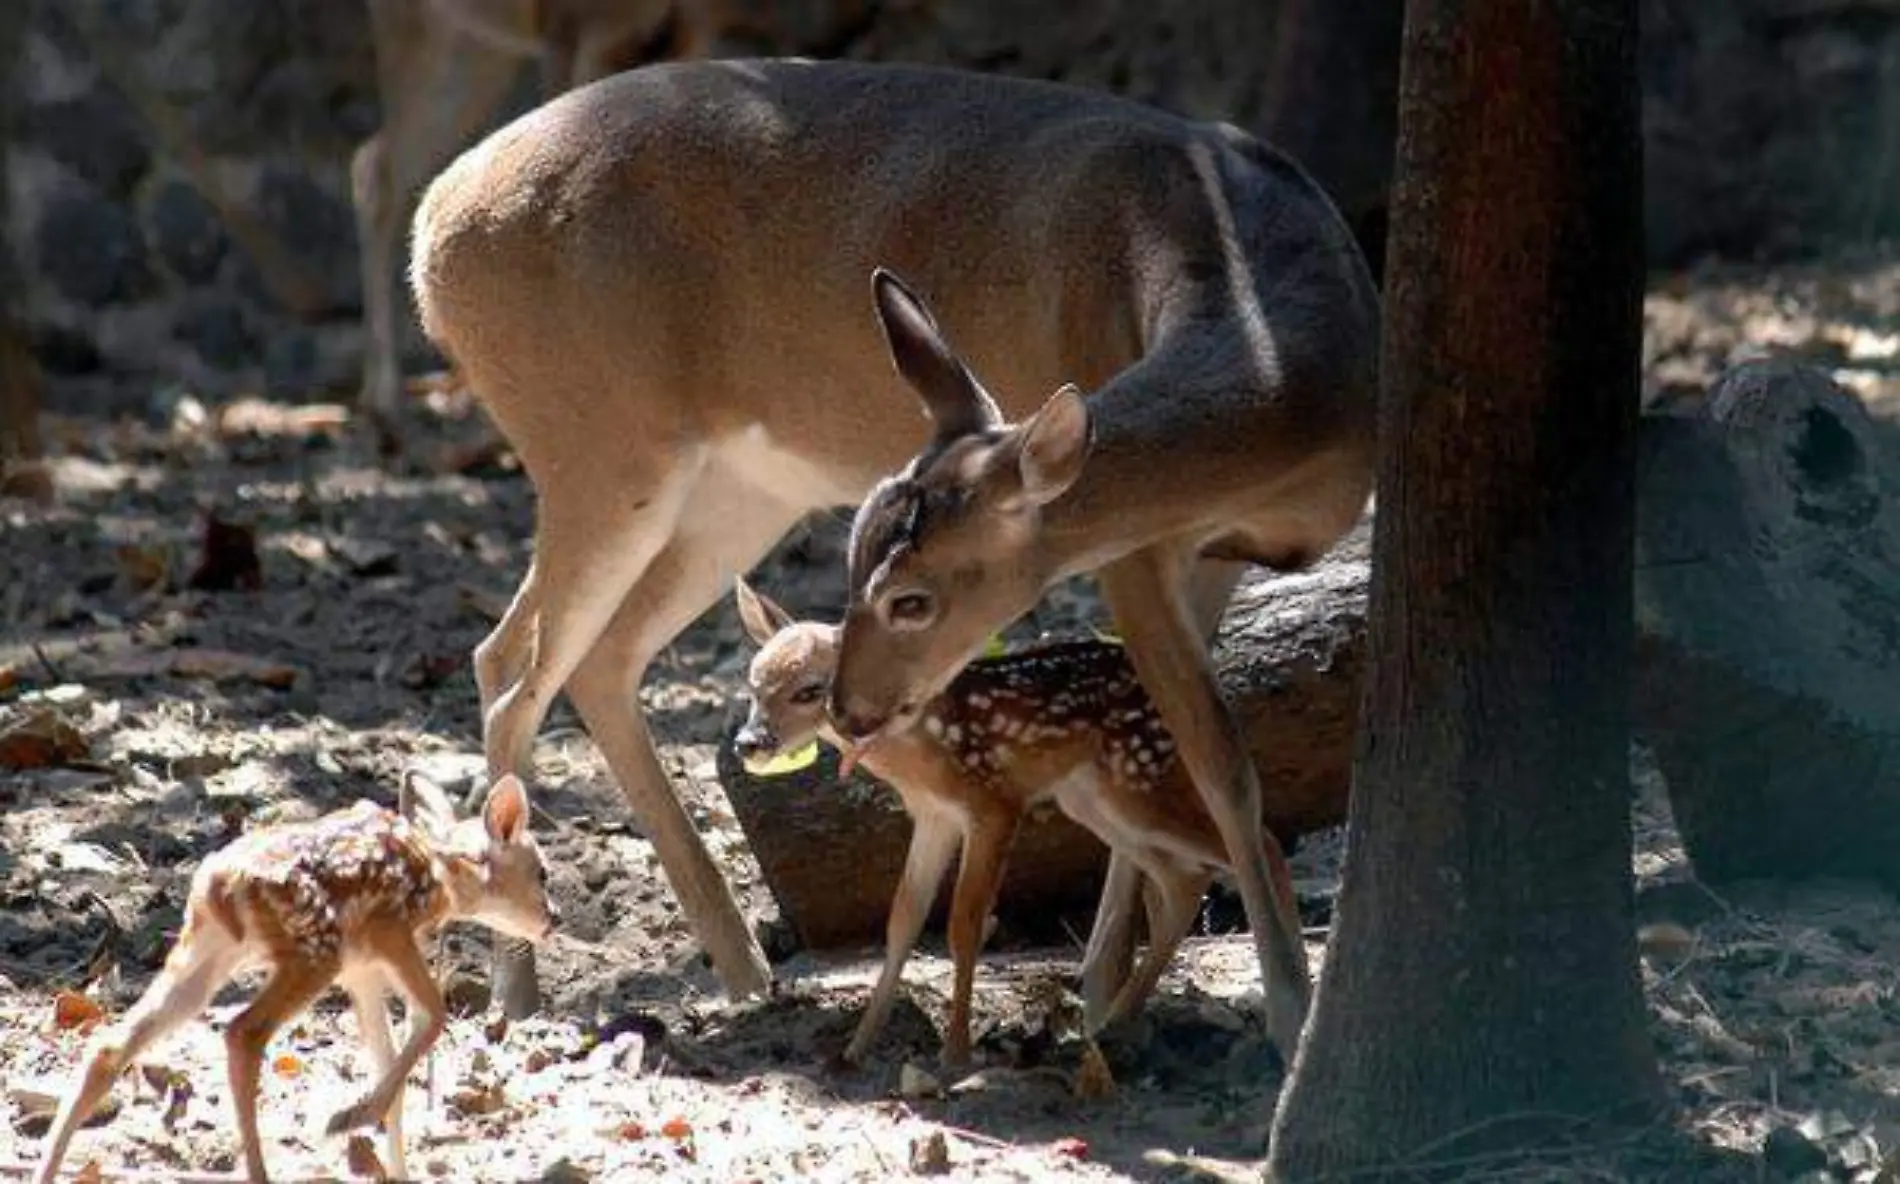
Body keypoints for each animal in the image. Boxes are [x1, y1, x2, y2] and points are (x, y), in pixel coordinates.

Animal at [404, 57, 1383, 1018]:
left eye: (912, 597)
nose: (847, 709)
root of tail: (432, 224)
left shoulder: (1205, 553)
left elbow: (1172, 736)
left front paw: (1108, 995)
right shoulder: (1131, 547)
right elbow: (1218, 761)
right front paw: (1284, 1010)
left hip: (741, 486)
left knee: (592, 658)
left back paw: (743, 972)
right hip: (601, 446)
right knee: (513, 671)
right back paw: (521, 991)